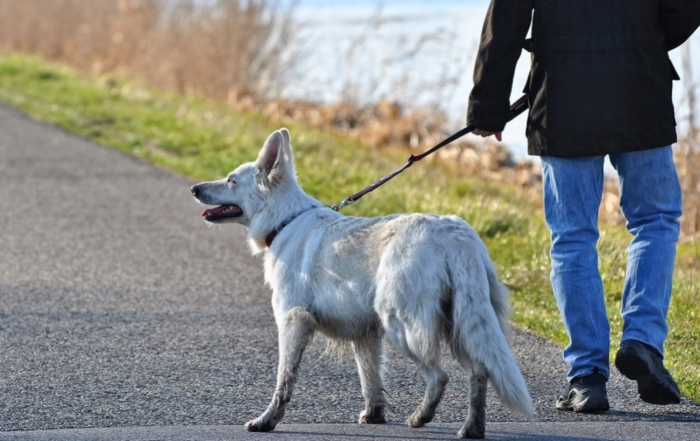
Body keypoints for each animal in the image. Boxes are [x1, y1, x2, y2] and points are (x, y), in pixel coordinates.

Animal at [190, 127, 532, 436]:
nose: (194, 188)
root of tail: (455, 234)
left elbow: (284, 379)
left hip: (403, 325)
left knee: (439, 376)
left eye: (231, 180)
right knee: (479, 371)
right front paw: (374, 416)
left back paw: (421, 417)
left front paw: (267, 421)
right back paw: (472, 428)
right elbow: (371, 379)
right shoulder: (365, 334)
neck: (285, 220)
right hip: (459, 323)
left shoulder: (292, 321)